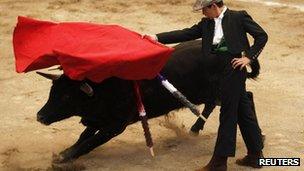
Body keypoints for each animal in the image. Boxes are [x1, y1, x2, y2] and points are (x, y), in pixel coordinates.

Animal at [36, 40, 258, 163]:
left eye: (66, 96)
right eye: (52, 92)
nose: (40, 116)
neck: (102, 88)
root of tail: (231, 54)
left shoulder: (116, 125)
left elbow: (91, 142)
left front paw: (62, 158)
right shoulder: (100, 119)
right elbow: (84, 136)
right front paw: (64, 153)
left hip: (223, 91)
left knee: (246, 97)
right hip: (206, 94)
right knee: (213, 104)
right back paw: (195, 129)